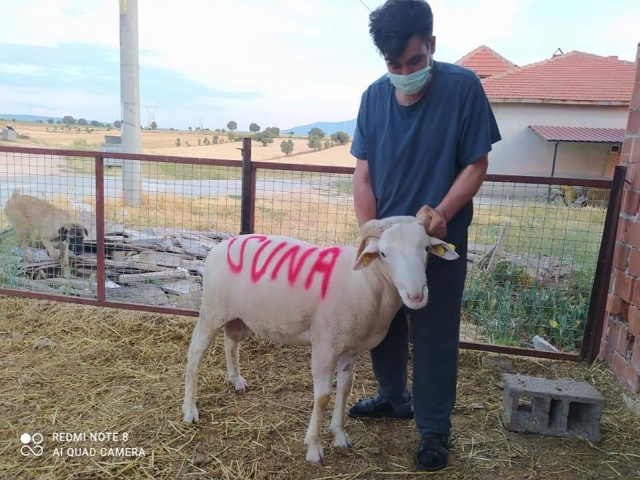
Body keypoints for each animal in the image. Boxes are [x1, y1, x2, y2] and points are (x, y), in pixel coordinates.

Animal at [182, 214, 458, 464]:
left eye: (425, 249)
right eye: (383, 254)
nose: (416, 296)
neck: (365, 284)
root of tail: (221, 246)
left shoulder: (349, 349)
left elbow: (345, 388)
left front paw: (339, 435)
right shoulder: (325, 345)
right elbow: (323, 396)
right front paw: (314, 448)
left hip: (239, 317)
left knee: (231, 341)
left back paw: (236, 379)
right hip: (212, 311)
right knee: (194, 355)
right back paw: (190, 410)